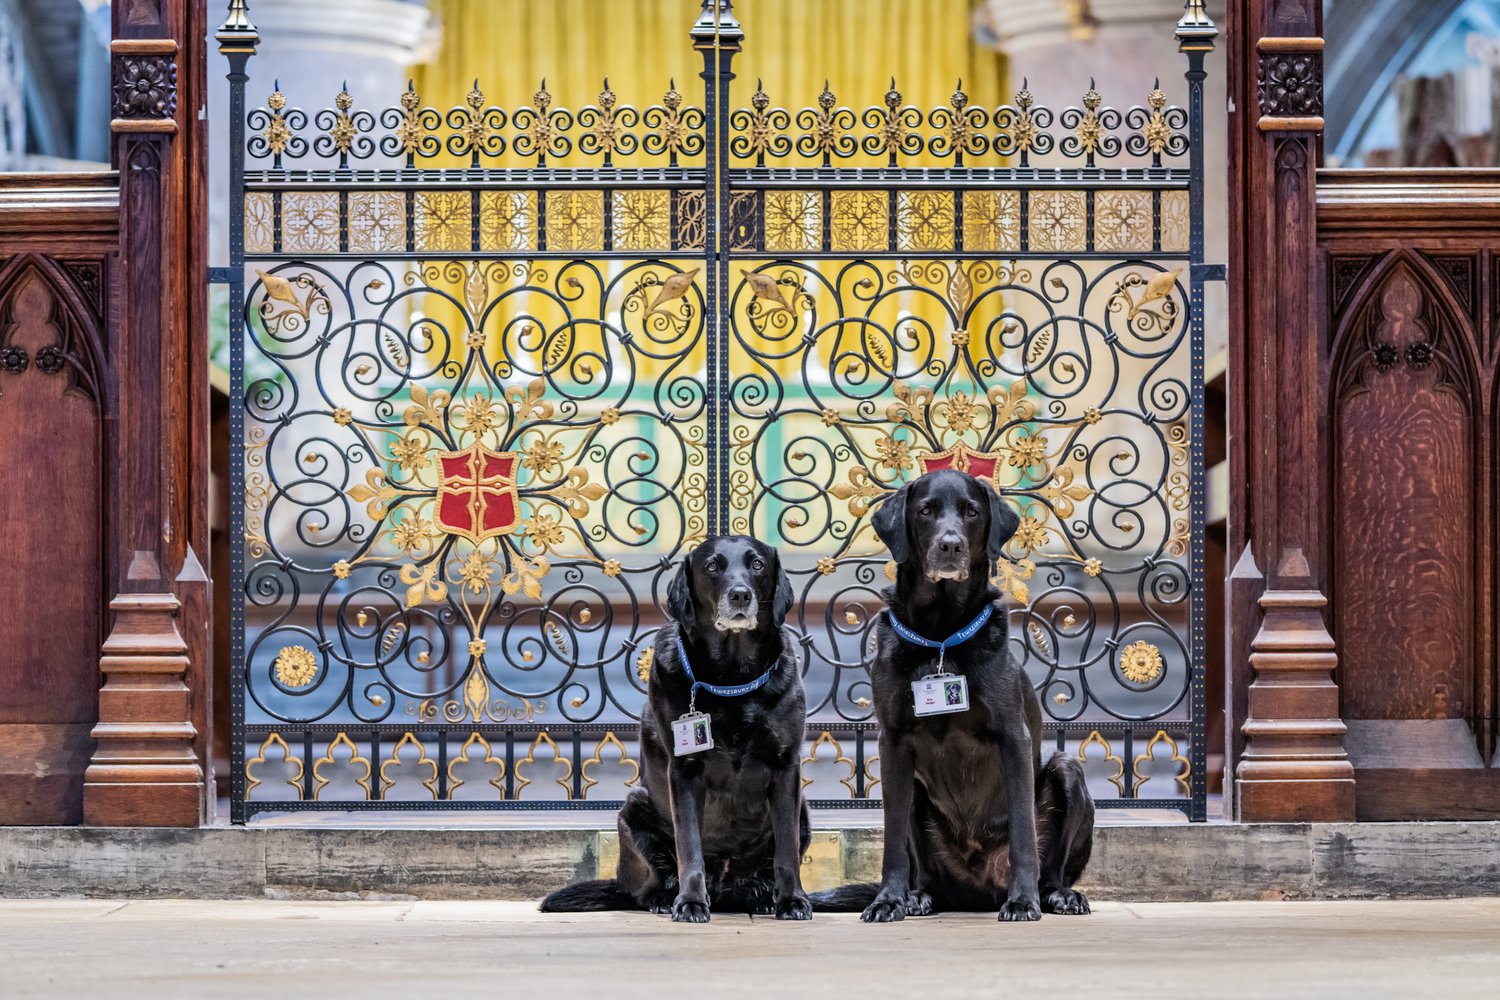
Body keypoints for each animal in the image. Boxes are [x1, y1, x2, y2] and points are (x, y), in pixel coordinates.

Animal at [540, 539, 816, 923]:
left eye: (758, 564)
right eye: (712, 566)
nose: (740, 595)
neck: (732, 680)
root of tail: (726, 890)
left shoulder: (786, 767)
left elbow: (787, 851)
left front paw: (791, 900)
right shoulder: (684, 772)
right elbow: (689, 847)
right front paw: (690, 902)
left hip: (803, 808)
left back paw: (762, 898)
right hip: (634, 808)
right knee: (647, 885)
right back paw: (663, 898)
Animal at [816, 470, 1098, 923]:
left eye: (972, 511)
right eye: (925, 510)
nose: (950, 546)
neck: (941, 636)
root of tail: (977, 892)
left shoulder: (1013, 738)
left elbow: (1023, 831)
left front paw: (1023, 902)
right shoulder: (892, 743)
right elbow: (892, 841)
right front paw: (888, 900)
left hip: (1067, 771)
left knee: (1051, 868)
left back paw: (1056, 896)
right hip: (916, 792)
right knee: (927, 875)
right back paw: (917, 898)